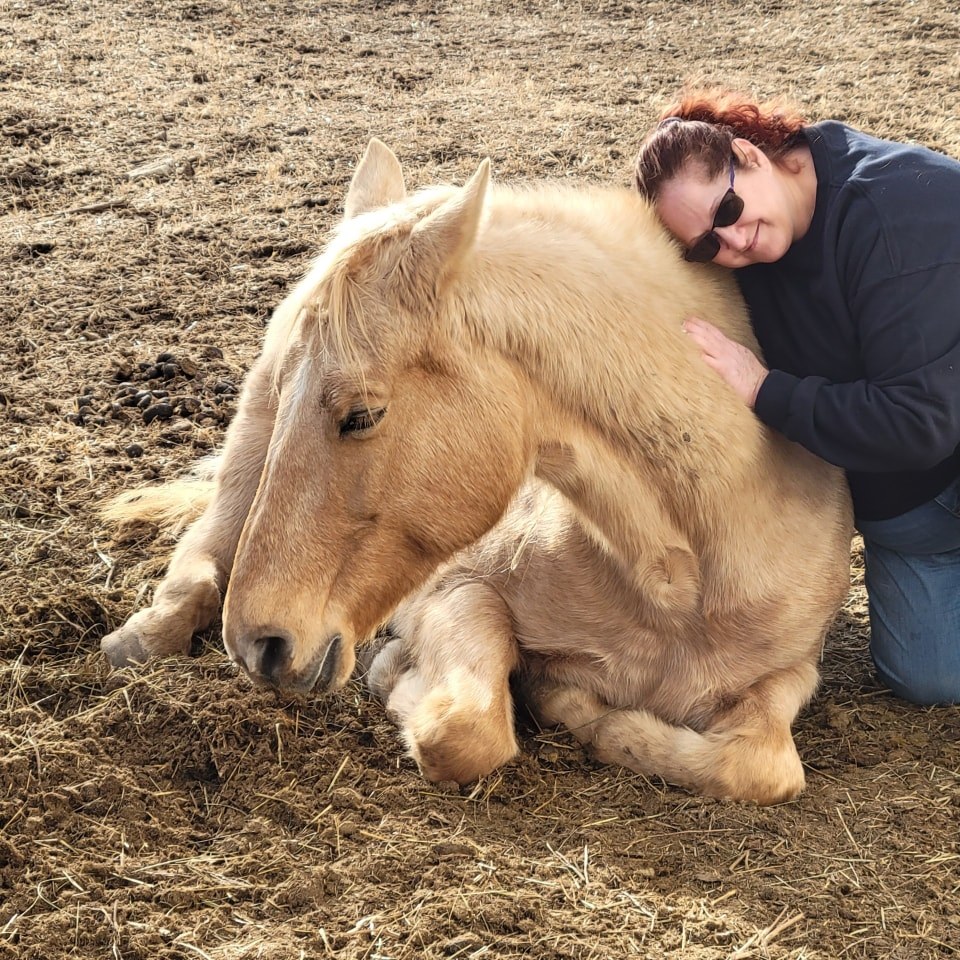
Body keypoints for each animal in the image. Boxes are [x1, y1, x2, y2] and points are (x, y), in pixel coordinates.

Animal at [101, 139, 853, 804]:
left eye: (362, 415)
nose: (261, 645)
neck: (684, 577)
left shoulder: (792, 672)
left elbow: (762, 767)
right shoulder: (458, 591)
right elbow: (463, 733)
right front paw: (405, 674)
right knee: (205, 549)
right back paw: (142, 637)